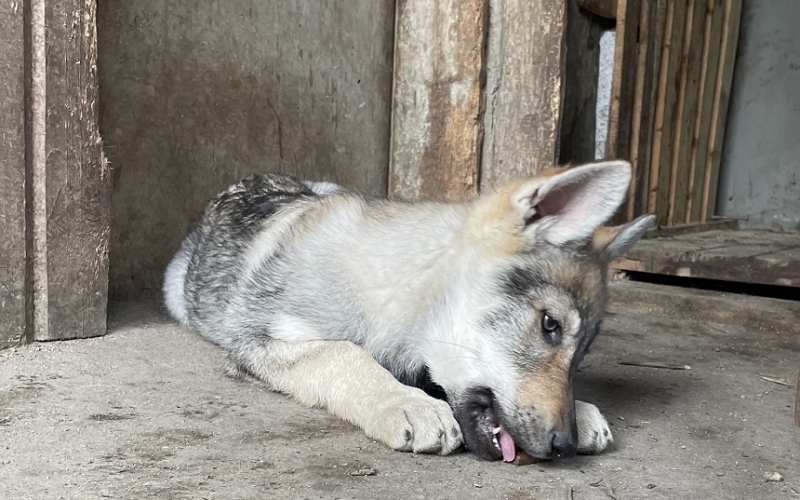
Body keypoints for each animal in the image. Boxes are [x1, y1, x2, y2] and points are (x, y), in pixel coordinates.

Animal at [166, 160, 652, 460]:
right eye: (550, 324)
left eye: (582, 354)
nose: (565, 446)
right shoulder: (258, 342)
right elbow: (345, 353)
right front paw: (404, 402)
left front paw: (582, 407)